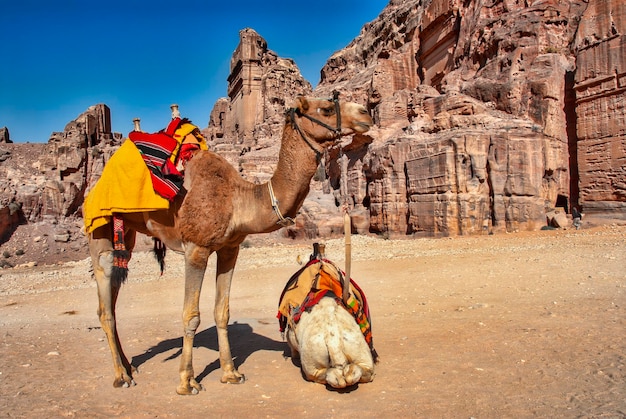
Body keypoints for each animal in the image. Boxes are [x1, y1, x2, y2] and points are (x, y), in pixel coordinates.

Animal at [87, 92, 370, 398]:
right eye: (326, 109)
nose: (366, 114)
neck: (238, 200)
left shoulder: (229, 249)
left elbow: (221, 312)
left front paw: (231, 373)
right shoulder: (195, 248)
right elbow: (191, 315)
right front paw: (187, 382)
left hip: (125, 233)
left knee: (114, 292)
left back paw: (130, 367)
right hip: (100, 226)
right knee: (105, 303)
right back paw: (121, 376)